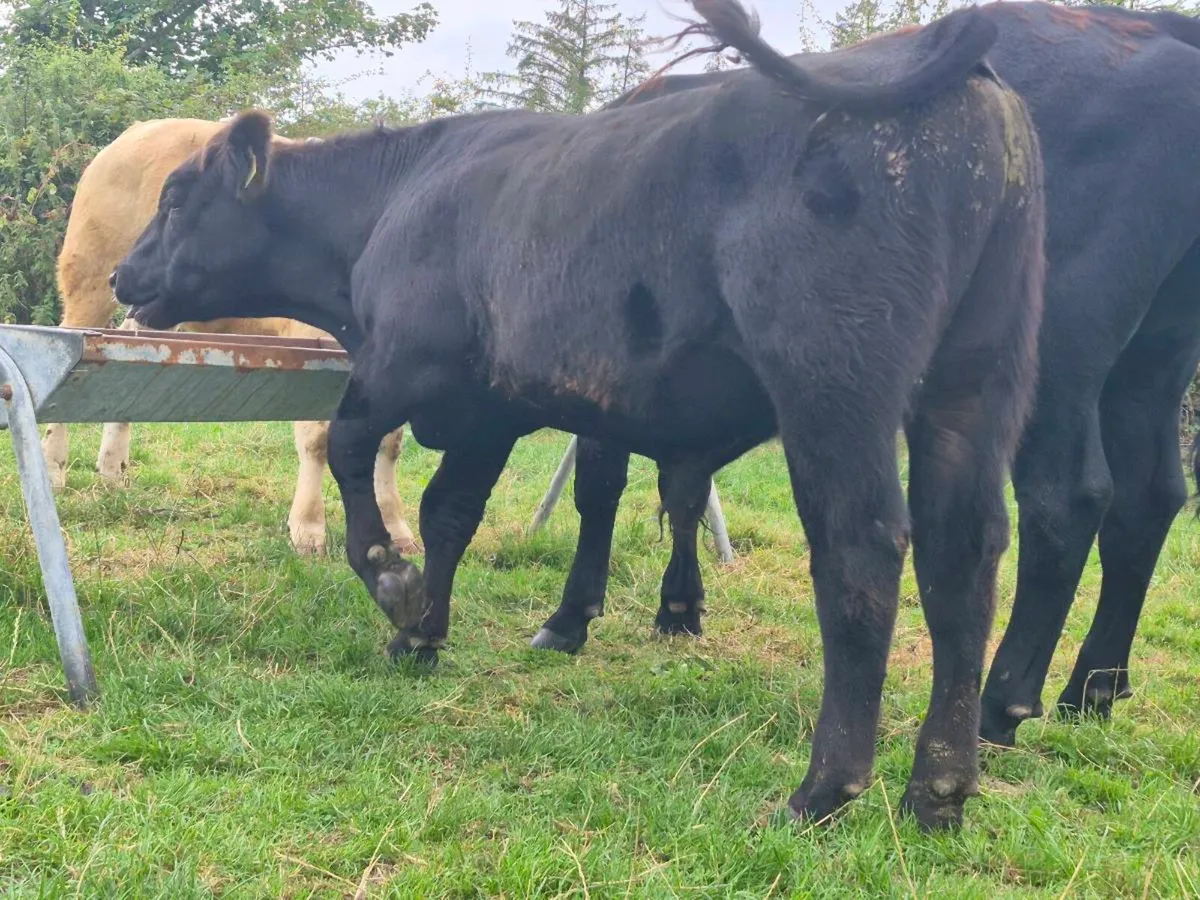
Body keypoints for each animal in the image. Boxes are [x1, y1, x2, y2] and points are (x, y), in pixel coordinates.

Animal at [42, 117, 418, 556]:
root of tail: (139, 129)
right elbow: (316, 439)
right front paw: (308, 528)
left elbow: (390, 442)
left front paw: (396, 529)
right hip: (91, 270)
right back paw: (53, 467)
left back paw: (112, 468)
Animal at [111, 0, 1046, 831]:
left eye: (176, 199)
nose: (123, 273)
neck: (396, 202)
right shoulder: (486, 406)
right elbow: (449, 512)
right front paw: (423, 632)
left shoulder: (404, 366)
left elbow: (349, 453)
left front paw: (392, 584)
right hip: (977, 380)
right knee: (966, 553)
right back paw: (939, 791)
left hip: (835, 385)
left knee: (862, 549)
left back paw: (822, 790)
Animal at [539, 0, 1200, 751]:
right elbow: (682, 490)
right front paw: (679, 606)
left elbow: (601, 486)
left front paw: (572, 616)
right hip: (1155, 357)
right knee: (1149, 497)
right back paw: (1093, 690)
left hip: (1057, 340)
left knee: (1068, 497)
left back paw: (1001, 704)